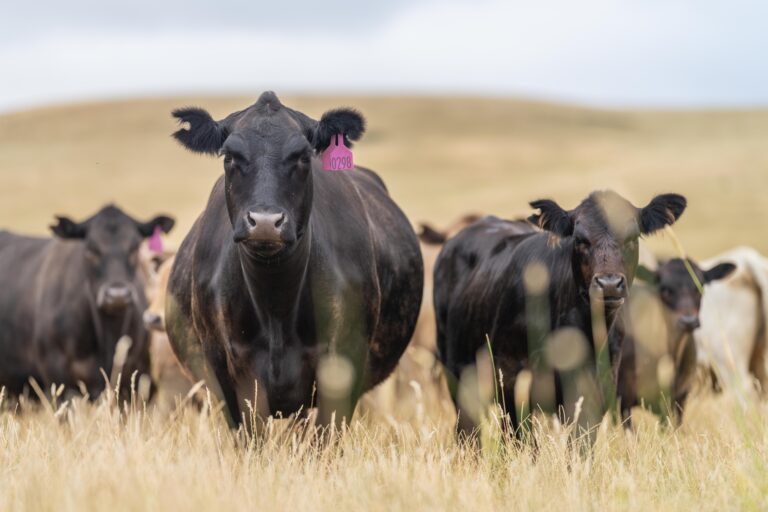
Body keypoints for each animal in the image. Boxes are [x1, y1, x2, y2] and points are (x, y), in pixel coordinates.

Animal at [165, 91, 423, 428]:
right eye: (230, 157)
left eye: (302, 156)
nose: (264, 221)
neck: (275, 307)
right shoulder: (227, 377)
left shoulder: (343, 367)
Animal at [433, 190, 687, 437]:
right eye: (580, 239)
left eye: (632, 238)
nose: (609, 284)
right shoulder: (510, 379)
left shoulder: (596, 390)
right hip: (457, 371)